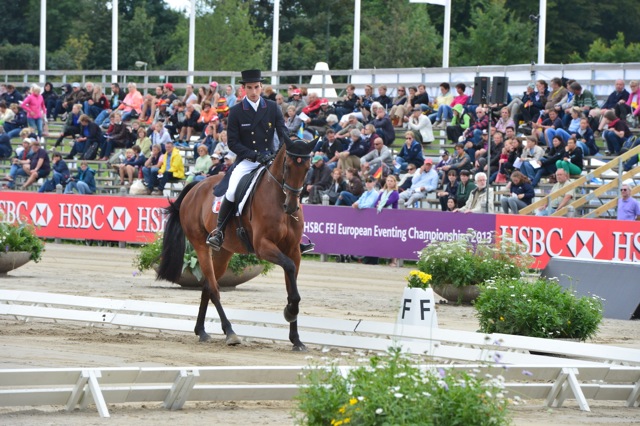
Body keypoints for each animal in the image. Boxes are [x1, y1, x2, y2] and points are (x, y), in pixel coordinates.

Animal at [156, 138, 314, 352]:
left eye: (307, 168)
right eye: (287, 166)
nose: (290, 207)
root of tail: (196, 187)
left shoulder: (293, 251)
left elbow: (292, 288)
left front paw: (296, 339)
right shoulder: (263, 246)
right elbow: (288, 269)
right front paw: (289, 312)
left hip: (223, 252)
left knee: (207, 285)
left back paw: (202, 331)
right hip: (201, 246)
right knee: (214, 288)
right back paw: (230, 332)